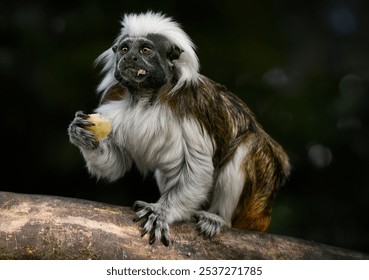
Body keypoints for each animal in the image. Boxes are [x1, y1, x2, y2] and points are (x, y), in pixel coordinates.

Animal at [67, 10, 288, 246]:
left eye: (145, 50)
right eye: (125, 49)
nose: (129, 58)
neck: (146, 97)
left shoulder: (192, 109)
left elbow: (198, 167)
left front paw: (162, 211)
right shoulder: (114, 104)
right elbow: (116, 164)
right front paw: (81, 134)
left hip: (257, 201)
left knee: (250, 144)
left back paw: (218, 218)